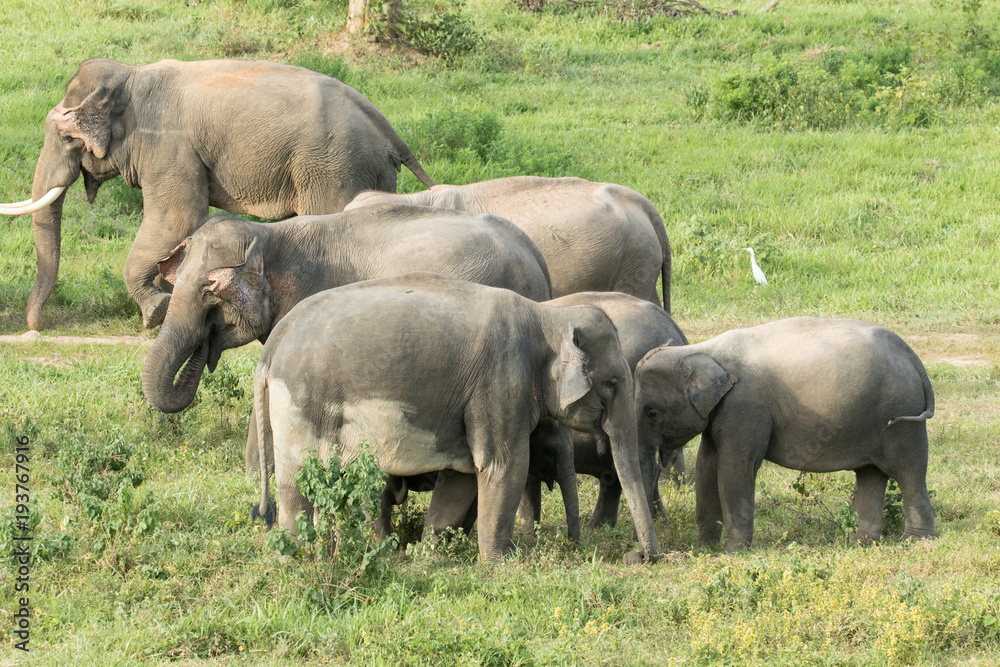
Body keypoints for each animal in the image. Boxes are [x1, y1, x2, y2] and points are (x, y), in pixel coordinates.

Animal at [0, 57, 434, 331]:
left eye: (64, 136)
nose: (36, 326)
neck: (131, 76)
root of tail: (387, 129)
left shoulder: (168, 146)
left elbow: (177, 218)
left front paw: (155, 312)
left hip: (333, 169)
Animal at [253, 272, 661, 563]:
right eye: (612, 384)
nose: (638, 556)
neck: (548, 315)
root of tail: (272, 346)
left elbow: (463, 476)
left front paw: (430, 554)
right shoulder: (501, 382)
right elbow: (503, 465)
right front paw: (501, 563)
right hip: (300, 405)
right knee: (297, 480)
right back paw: (298, 559)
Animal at [634, 317, 936, 552]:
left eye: (652, 413)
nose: (642, 554)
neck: (702, 349)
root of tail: (913, 357)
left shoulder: (745, 406)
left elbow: (735, 468)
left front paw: (733, 552)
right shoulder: (722, 412)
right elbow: (706, 465)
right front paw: (702, 548)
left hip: (901, 415)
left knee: (909, 471)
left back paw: (914, 541)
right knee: (871, 474)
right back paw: (860, 543)